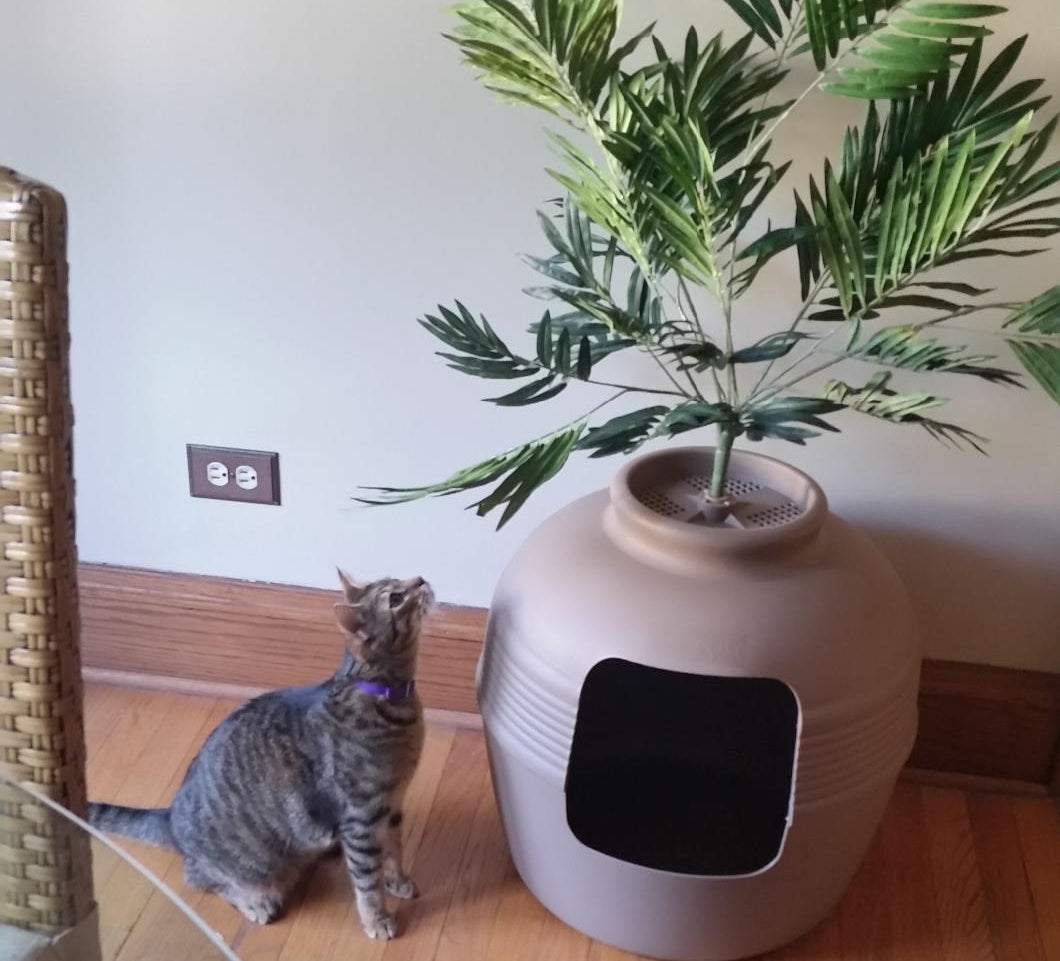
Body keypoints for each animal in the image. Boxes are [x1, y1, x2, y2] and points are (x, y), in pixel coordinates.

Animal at [89, 572, 430, 940]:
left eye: (398, 580)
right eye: (395, 598)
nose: (421, 580)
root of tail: (170, 817)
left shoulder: (392, 804)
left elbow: (394, 850)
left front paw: (397, 880)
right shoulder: (361, 818)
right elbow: (367, 883)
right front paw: (376, 918)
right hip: (252, 867)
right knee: (199, 877)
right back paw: (253, 902)